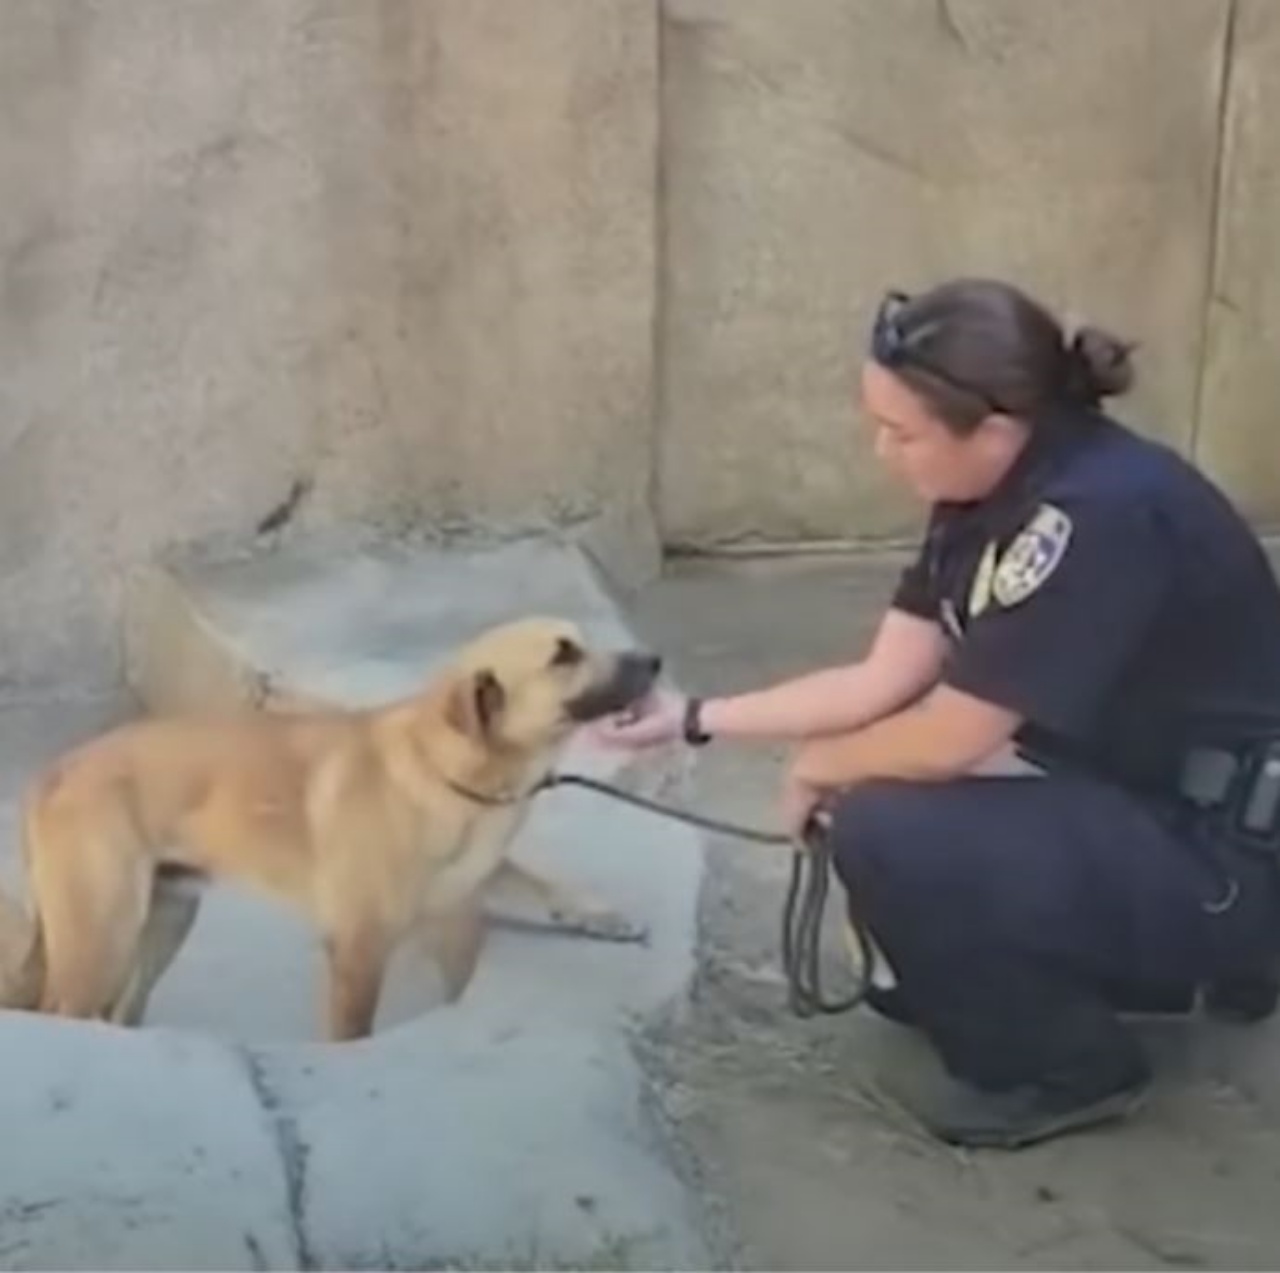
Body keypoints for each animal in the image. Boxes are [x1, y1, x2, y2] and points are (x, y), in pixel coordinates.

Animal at [2, 619, 660, 1043]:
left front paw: (603, 916)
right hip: (102, 938)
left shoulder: (477, 873)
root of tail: (51, 773)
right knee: (60, 1011)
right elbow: (353, 1033)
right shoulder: (358, 948)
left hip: (164, 920)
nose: (654, 660)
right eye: (563, 656)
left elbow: (544, 883)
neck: (446, 768)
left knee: (118, 1013)